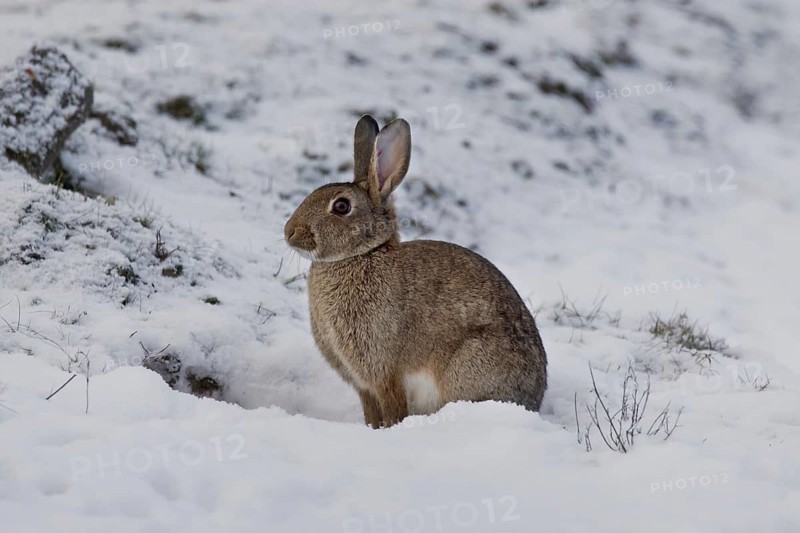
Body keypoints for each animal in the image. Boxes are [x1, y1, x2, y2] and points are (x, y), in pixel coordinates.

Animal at [284, 114, 547, 428]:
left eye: (342, 206)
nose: (289, 232)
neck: (362, 255)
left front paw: (389, 430)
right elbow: (370, 410)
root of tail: (535, 398)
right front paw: (371, 429)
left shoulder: (384, 370)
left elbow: (393, 406)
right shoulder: (362, 383)